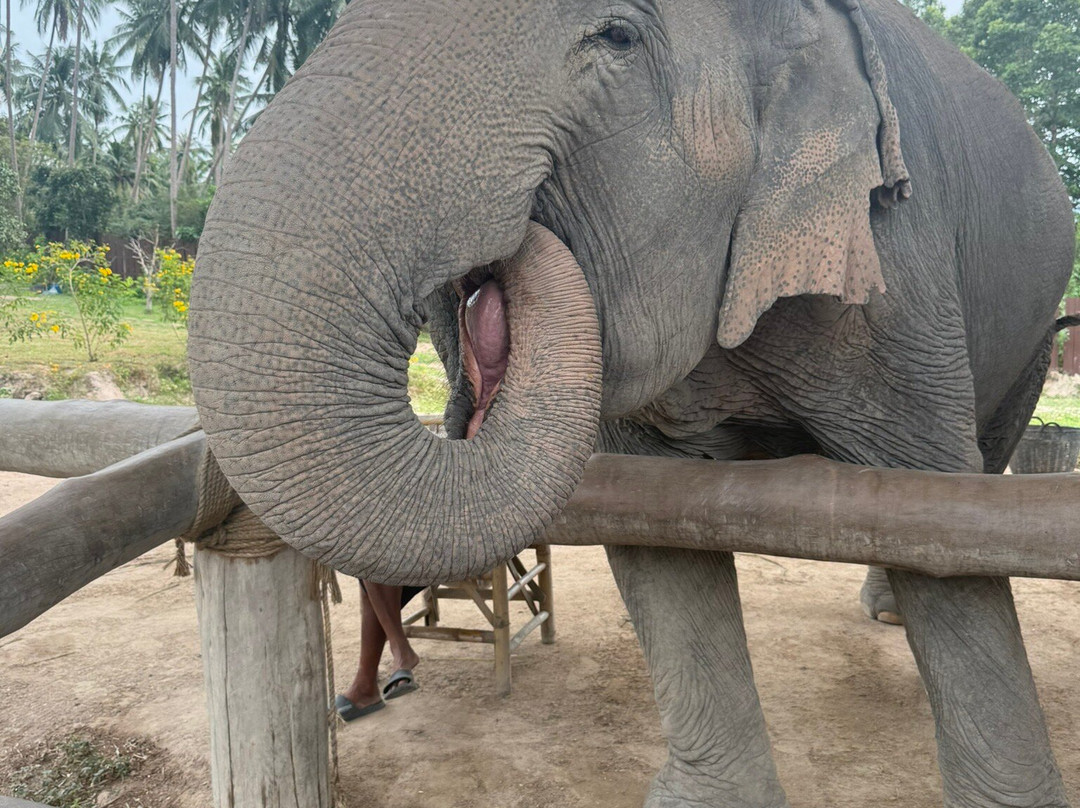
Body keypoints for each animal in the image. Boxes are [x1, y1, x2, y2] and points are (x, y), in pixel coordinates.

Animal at [187, 0, 1077, 805]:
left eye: (615, 37)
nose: (501, 251)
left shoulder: (895, 257)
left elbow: (940, 518)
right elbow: (657, 530)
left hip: (1033, 329)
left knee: (980, 461)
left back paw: (887, 612)